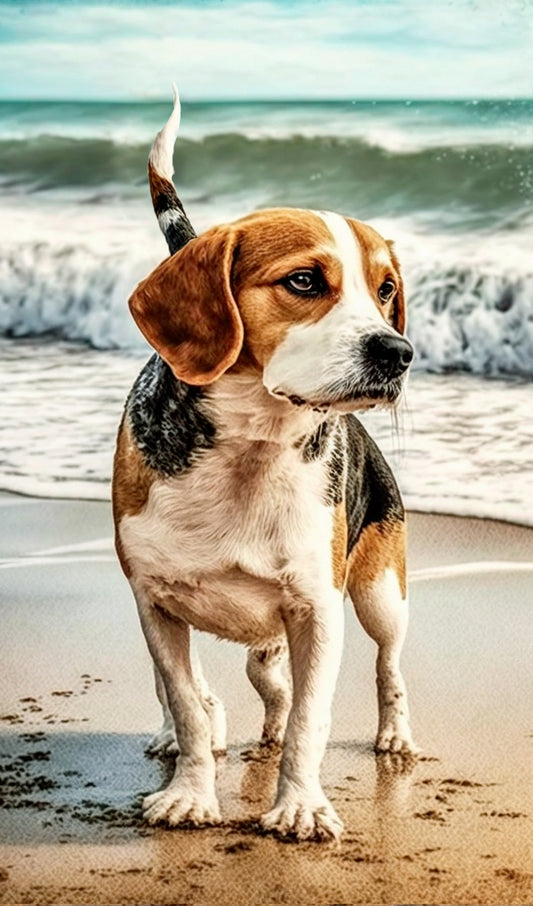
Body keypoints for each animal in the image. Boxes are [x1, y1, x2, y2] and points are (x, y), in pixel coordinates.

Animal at [113, 92, 416, 840]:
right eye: (303, 280)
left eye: (385, 289)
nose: (397, 352)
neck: (250, 450)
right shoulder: (154, 605)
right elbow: (188, 702)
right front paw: (190, 792)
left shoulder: (318, 612)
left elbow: (311, 720)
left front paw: (299, 805)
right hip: (258, 639)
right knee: (248, 689)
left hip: (380, 594)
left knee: (387, 666)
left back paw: (394, 734)